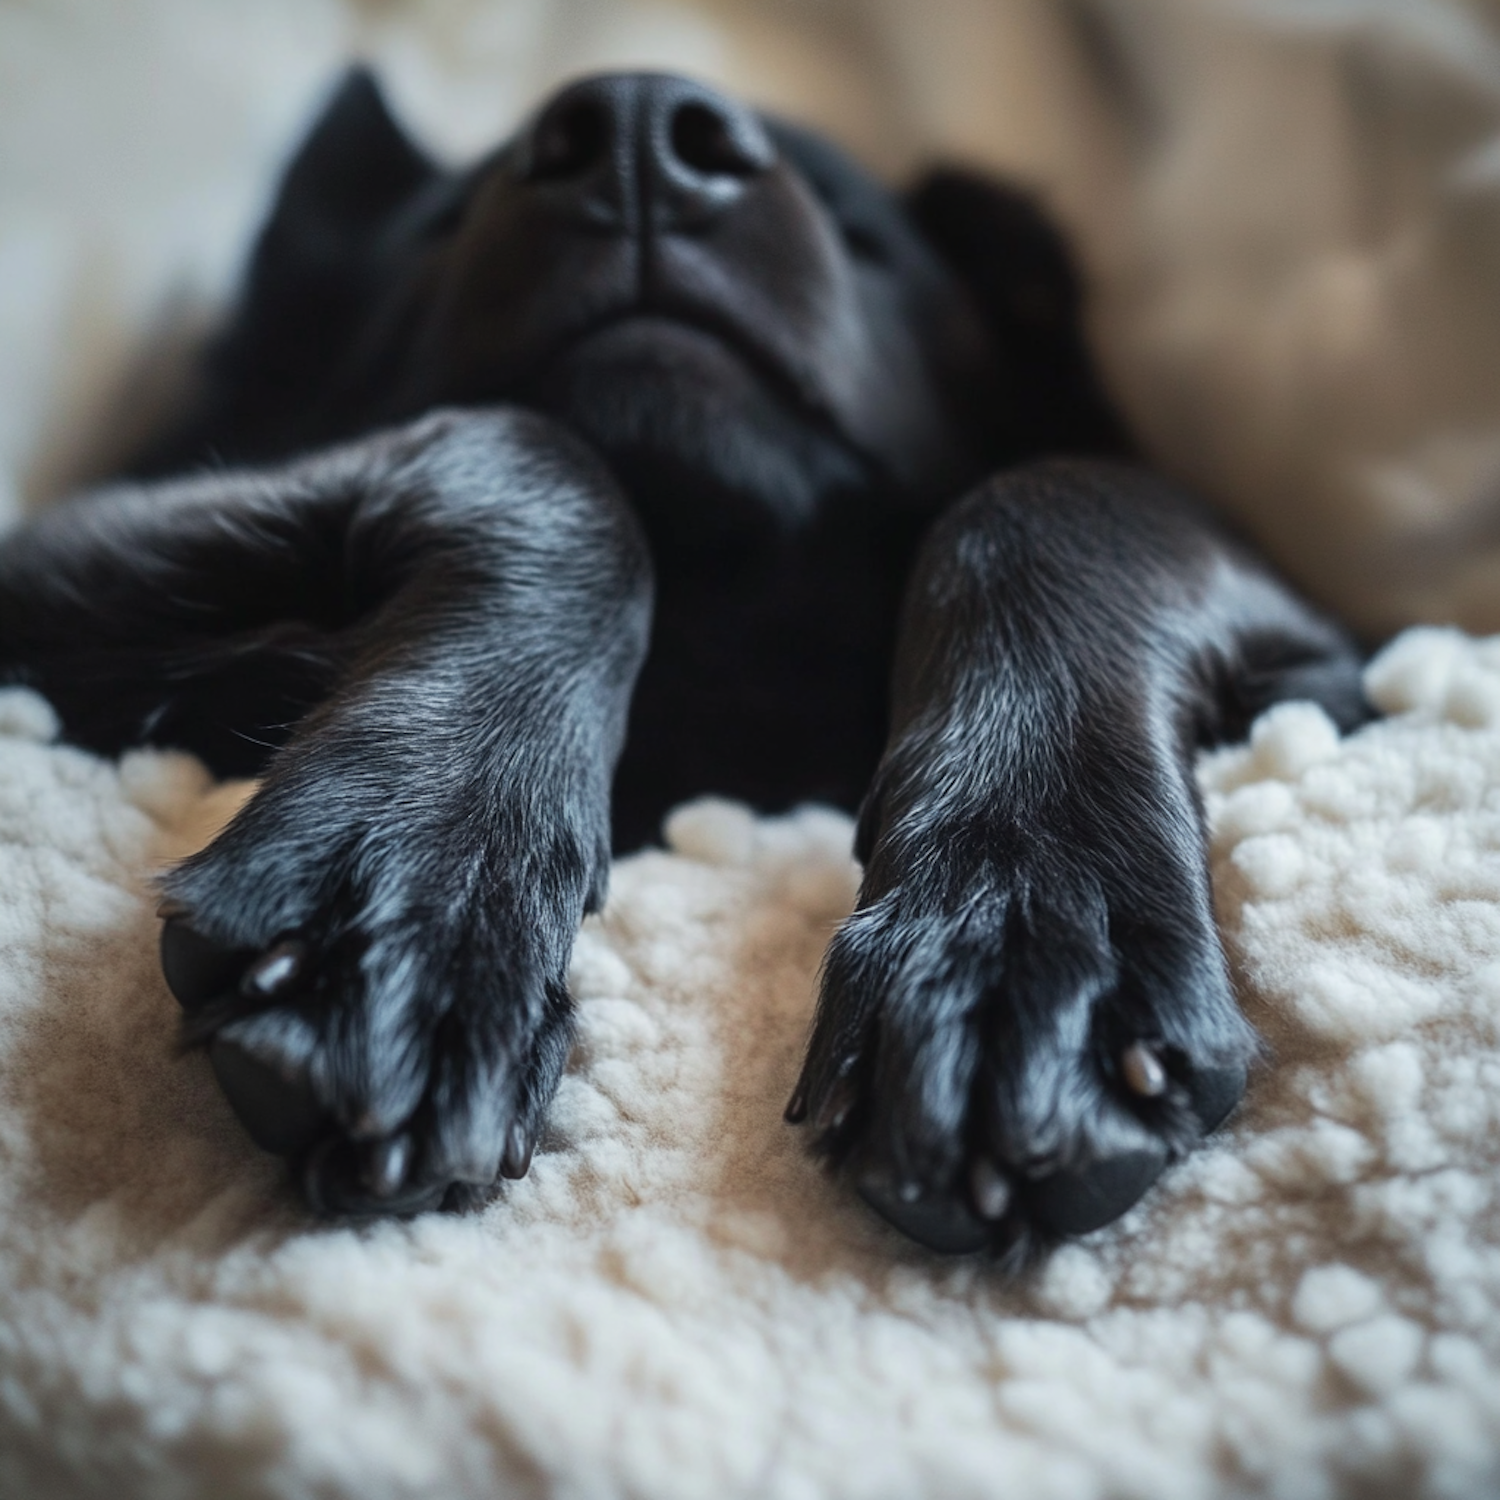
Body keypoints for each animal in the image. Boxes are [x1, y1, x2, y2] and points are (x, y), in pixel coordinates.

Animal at [0, 73, 1374, 1266]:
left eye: (859, 231)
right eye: (442, 226)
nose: (634, 128)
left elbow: (1053, 491)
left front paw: (1018, 935)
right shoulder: (56, 560)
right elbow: (540, 453)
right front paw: (417, 892)